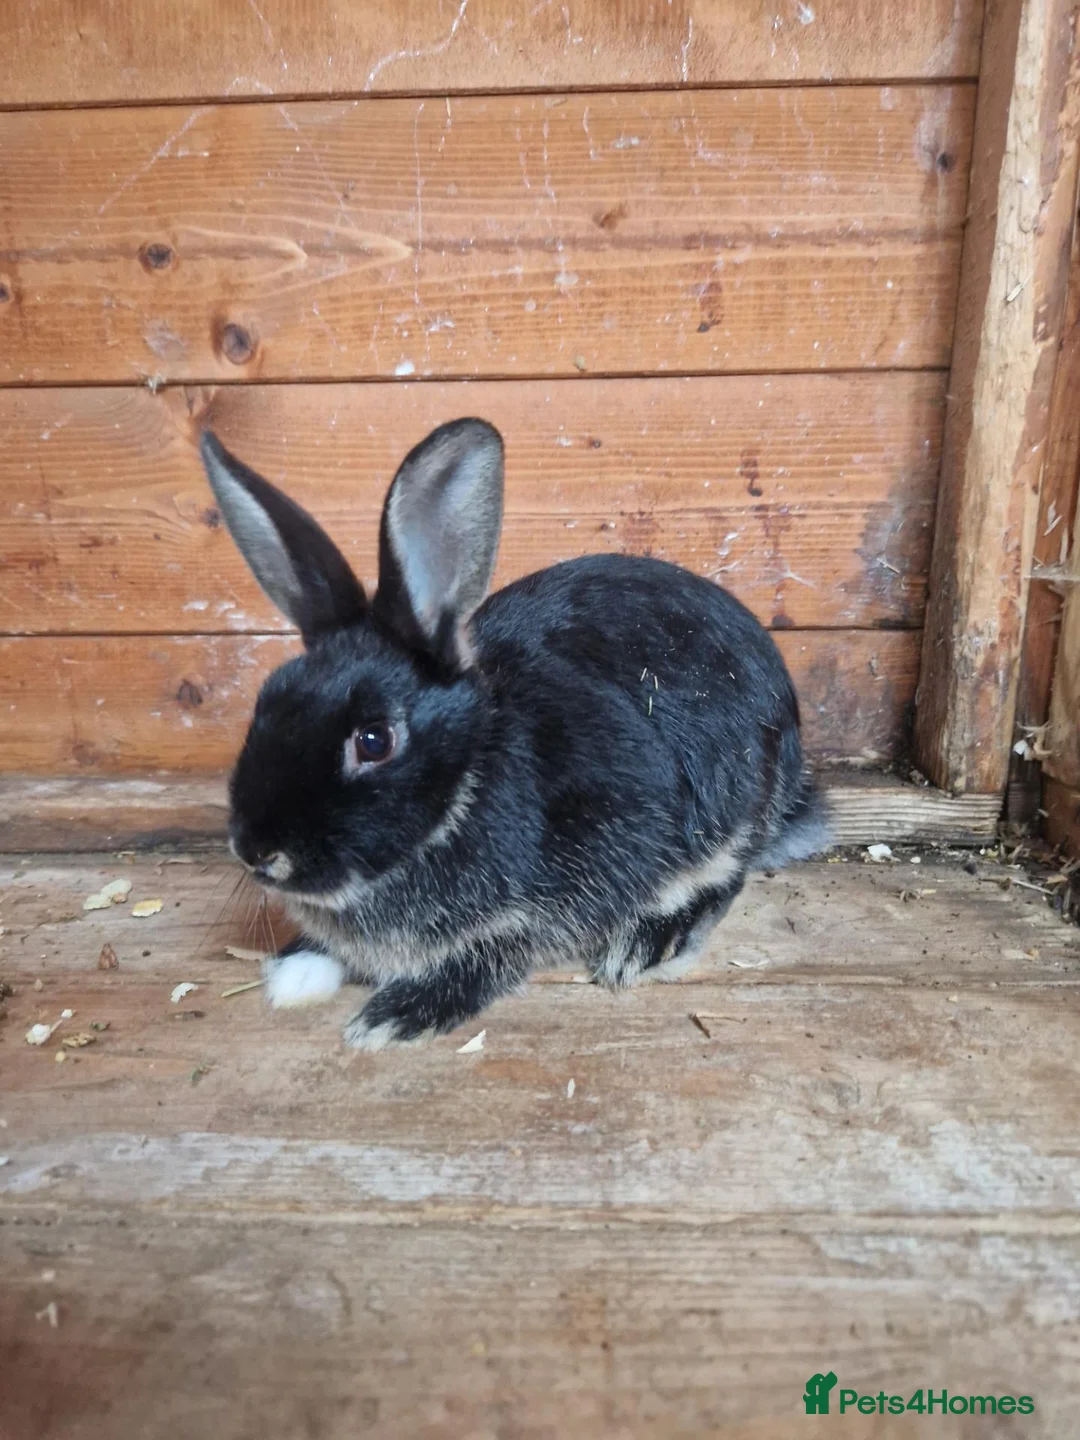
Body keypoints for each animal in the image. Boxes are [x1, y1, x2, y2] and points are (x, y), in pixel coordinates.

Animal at [199, 418, 829, 1049]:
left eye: (374, 740)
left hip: (725, 816)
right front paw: (295, 967)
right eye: (266, 698)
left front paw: (396, 1015)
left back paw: (646, 946)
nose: (256, 851)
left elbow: (494, 954)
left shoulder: (546, 900)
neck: (469, 779)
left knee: (725, 877)